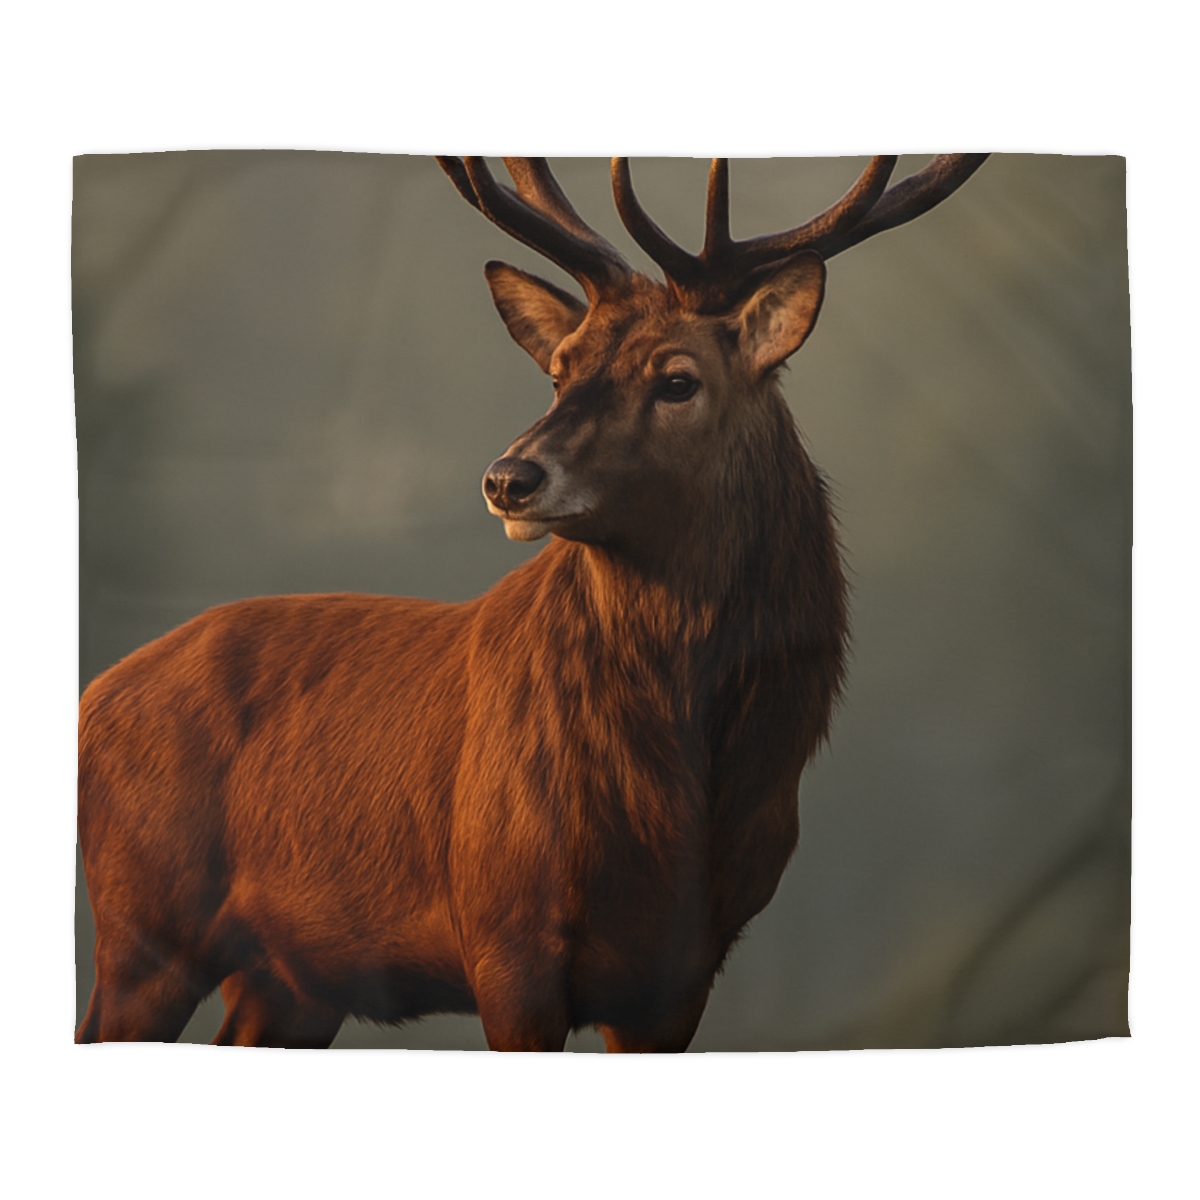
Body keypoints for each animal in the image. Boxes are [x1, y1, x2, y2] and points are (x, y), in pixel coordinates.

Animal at [76, 155, 988, 1052]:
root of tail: (93, 697)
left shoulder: (683, 973)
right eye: (560, 369)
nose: (507, 478)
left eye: (679, 380)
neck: (681, 805)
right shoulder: (504, 929)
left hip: (293, 975)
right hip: (142, 920)